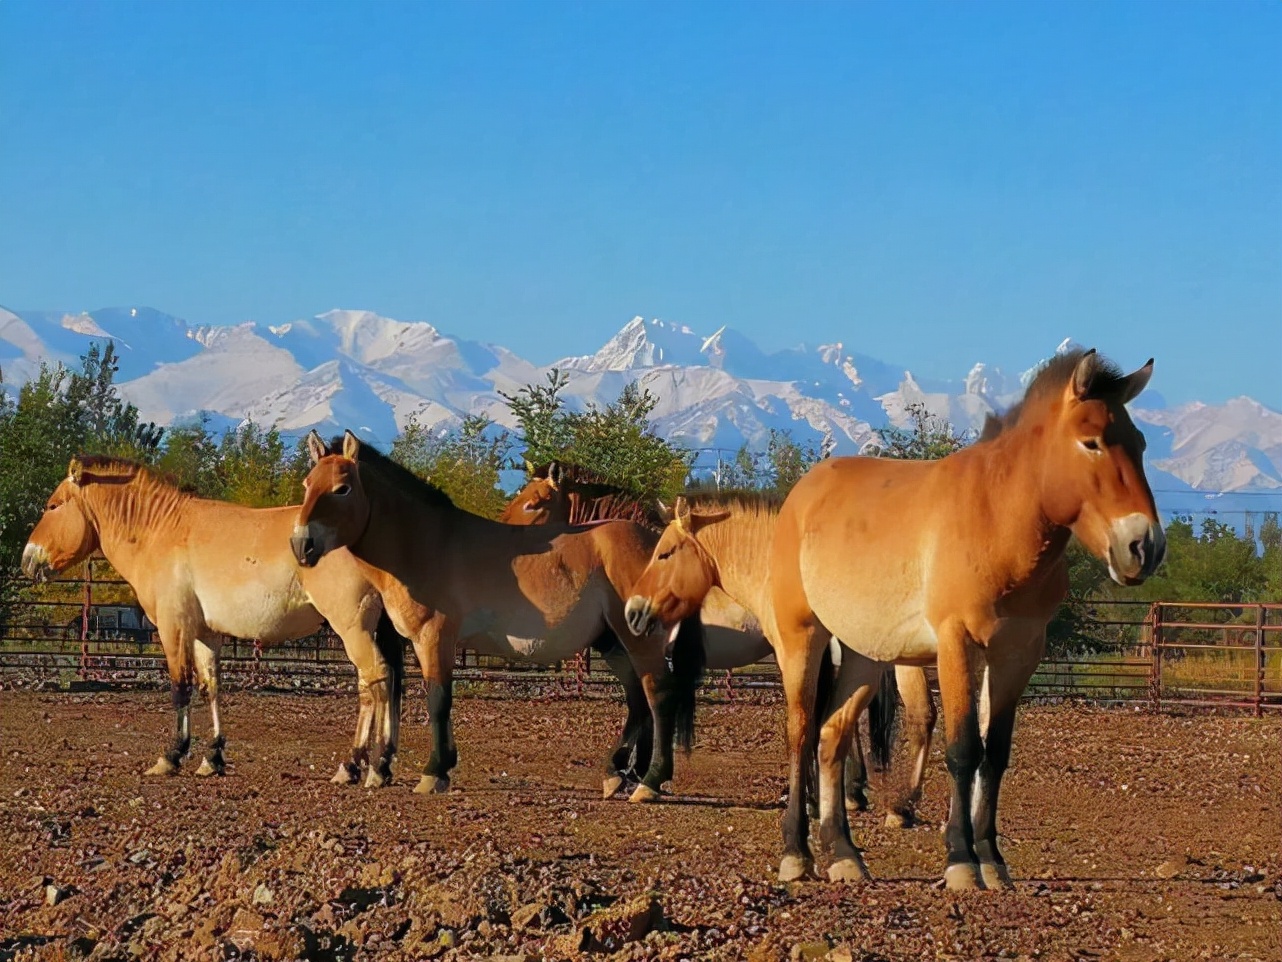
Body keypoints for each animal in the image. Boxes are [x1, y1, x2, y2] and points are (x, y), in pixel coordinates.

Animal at [21, 456, 408, 787]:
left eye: (53, 505)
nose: (28, 561)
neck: (162, 532)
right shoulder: (205, 635)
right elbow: (211, 687)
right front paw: (212, 757)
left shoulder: (174, 629)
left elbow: (180, 687)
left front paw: (171, 756)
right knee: (382, 682)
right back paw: (378, 763)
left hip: (352, 628)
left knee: (374, 680)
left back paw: (362, 766)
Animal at [291, 431, 706, 802]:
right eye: (308, 484)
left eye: (342, 488)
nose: (301, 544)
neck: (425, 544)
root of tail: (659, 546)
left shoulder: (434, 636)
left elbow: (438, 699)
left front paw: (433, 773)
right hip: (613, 642)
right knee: (638, 698)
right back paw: (616, 773)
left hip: (638, 639)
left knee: (658, 695)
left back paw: (649, 782)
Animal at [509, 461, 936, 820]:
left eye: (532, 503)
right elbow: (642, 705)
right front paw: (631, 769)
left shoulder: (640, 648)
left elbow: (648, 702)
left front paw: (640, 774)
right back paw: (850, 791)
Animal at [627, 349, 1165, 888]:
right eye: (1091, 442)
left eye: (1140, 444)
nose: (1145, 546)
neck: (995, 518)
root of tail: (803, 495)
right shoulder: (956, 644)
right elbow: (964, 749)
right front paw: (961, 860)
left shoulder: (1018, 655)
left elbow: (995, 754)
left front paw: (993, 861)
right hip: (805, 640)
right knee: (802, 732)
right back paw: (797, 852)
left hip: (866, 656)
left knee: (832, 734)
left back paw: (844, 853)